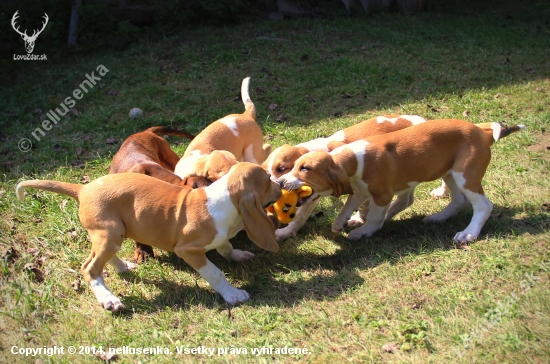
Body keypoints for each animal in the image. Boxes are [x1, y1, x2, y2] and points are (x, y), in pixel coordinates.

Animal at [16, 164, 284, 312]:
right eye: (267, 180)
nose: (281, 185)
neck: (224, 199)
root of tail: (83, 189)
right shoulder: (188, 250)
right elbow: (215, 273)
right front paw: (232, 295)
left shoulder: (219, 238)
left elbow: (225, 246)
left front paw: (237, 255)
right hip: (109, 233)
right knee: (90, 268)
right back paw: (108, 299)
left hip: (113, 234)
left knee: (103, 258)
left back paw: (123, 267)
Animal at [280, 119, 528, 243]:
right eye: (293, 166)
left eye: (305, 168)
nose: (281, 182)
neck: (353, 159)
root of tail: (483, 133)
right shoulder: (360, 190)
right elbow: (348, 206)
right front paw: (339, 224)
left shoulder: (381, 194)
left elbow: (374, 216)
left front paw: (363, 232)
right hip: (450, 172)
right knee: (458, 200)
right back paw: (438, 217)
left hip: (465, 174)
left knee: (483, 205)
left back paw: (468, 233)